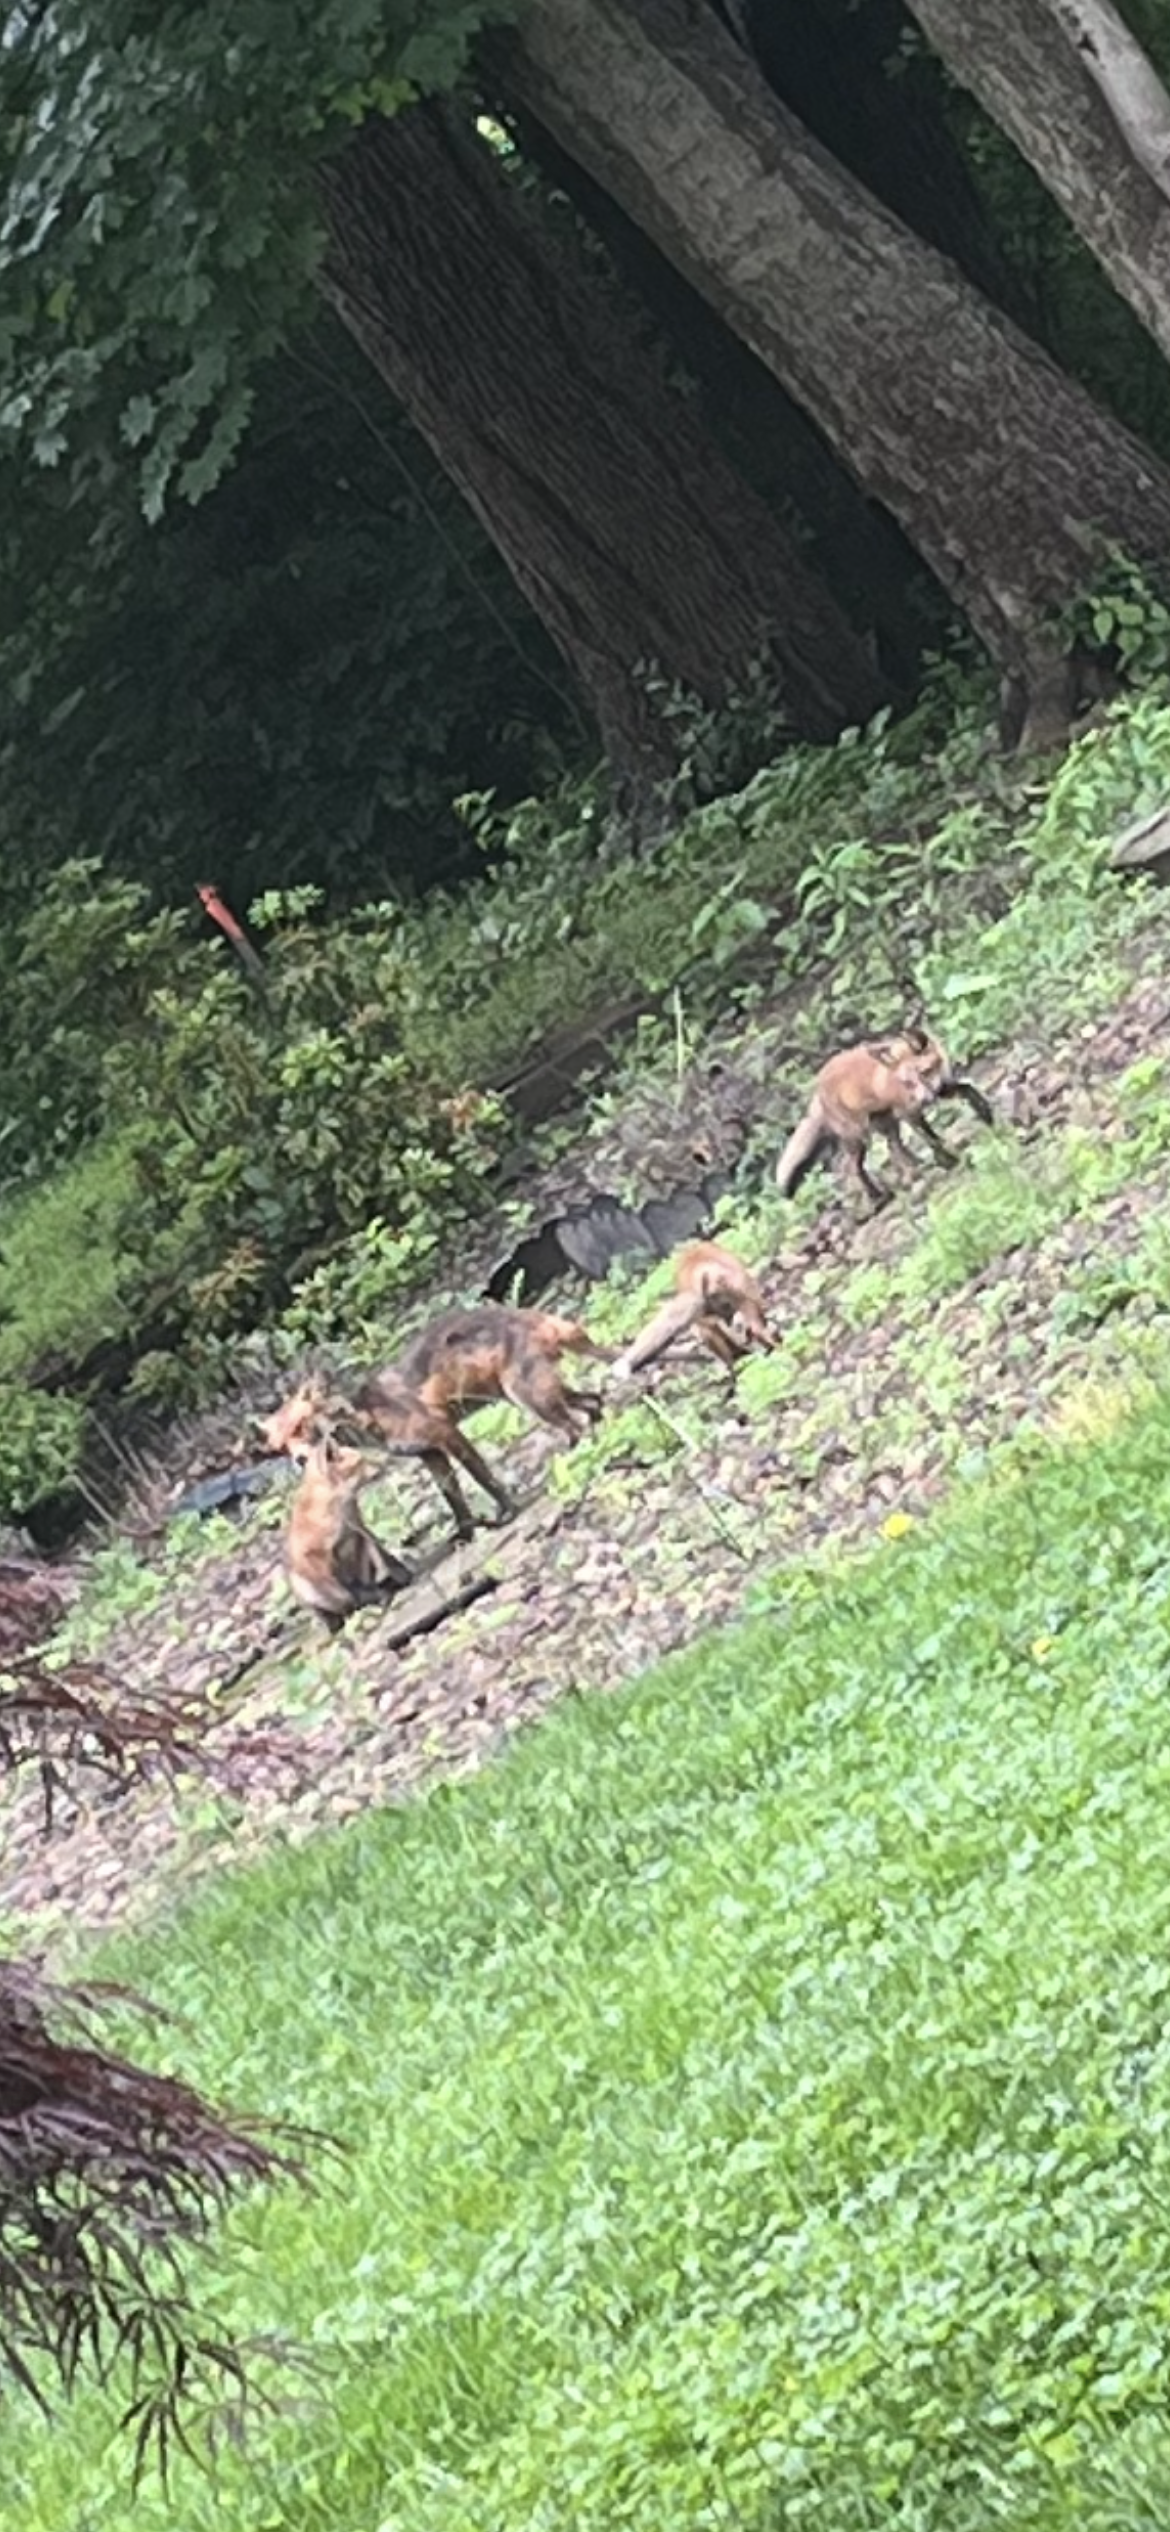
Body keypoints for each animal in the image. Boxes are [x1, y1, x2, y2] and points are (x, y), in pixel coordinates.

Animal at [284, 1436, 412, 1634]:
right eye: (360, 1461)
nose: (390, 1458)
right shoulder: (316, 1556)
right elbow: (346, 1590)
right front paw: (372, 1599)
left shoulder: (358, 1527)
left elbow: (385, 1555)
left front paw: (403, 1575)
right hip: (301, 1583)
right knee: (338, 1607)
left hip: (361, 1547)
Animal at [775, 1028, 994, 1209]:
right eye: (908, 1083)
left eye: (925, 1072)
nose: (924, 1099)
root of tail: (817, 1087)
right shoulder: (908, 1111)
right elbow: (930, 1139)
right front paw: (948, 1161)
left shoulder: (942, 1089)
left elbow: (969, 1091)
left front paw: (987, 1115)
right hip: (859, 1137)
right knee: (851, 1168)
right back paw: (878, 1196)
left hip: (887, 1124)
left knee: (893, 1147)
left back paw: (916, 1168)